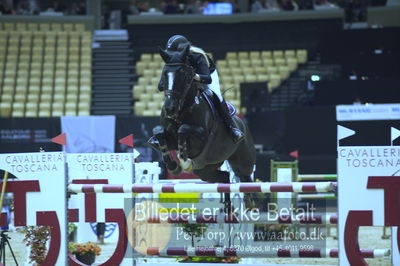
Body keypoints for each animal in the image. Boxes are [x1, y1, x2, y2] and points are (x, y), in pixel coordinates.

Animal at [149, 45, 256, 210]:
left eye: (184, 75)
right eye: (164, 75)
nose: (169, 109)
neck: (183, 108)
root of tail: (242, 123)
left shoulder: (201, 137)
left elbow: (183, 129)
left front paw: (184, 161)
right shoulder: (169, 138)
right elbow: (159, 132)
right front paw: (173, 166)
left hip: (242, 160)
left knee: (245, 176)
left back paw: (249, 201)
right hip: (205, 169)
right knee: (224, 177)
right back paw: (228, 207)